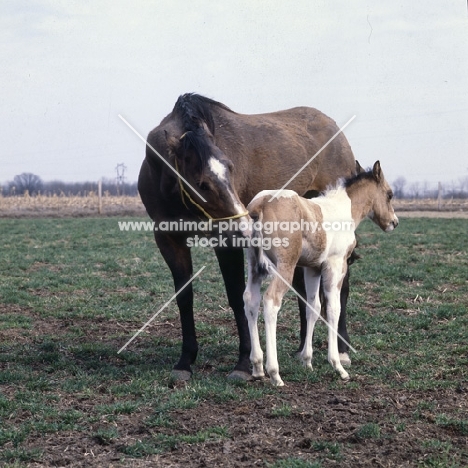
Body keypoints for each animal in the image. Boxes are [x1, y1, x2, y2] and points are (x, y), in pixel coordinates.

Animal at [241, 163, 398, 386]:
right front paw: (338, 366)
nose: (394, 222)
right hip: (285, 267)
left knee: (250, 300)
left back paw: (257, 366)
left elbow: (313, 308)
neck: (343, 209)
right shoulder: (336, 264)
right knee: (271, 301)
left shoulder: (312, 268)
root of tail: (260, 205)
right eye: (389, 194)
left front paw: (307, 361)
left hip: (254, 265)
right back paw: (274, 373)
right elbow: (333, 308)